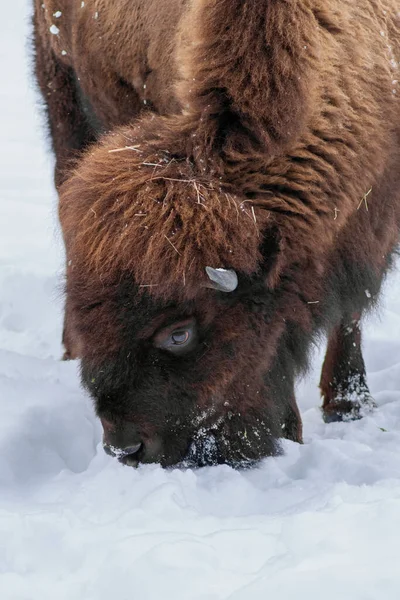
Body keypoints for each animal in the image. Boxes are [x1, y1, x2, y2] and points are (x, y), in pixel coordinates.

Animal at [33, 0, 400, 466]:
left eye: (179, 334)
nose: (127, 448)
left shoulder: (371, 220)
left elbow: (348, 314)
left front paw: (349, 407)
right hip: (63, 94)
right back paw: (68, 348)